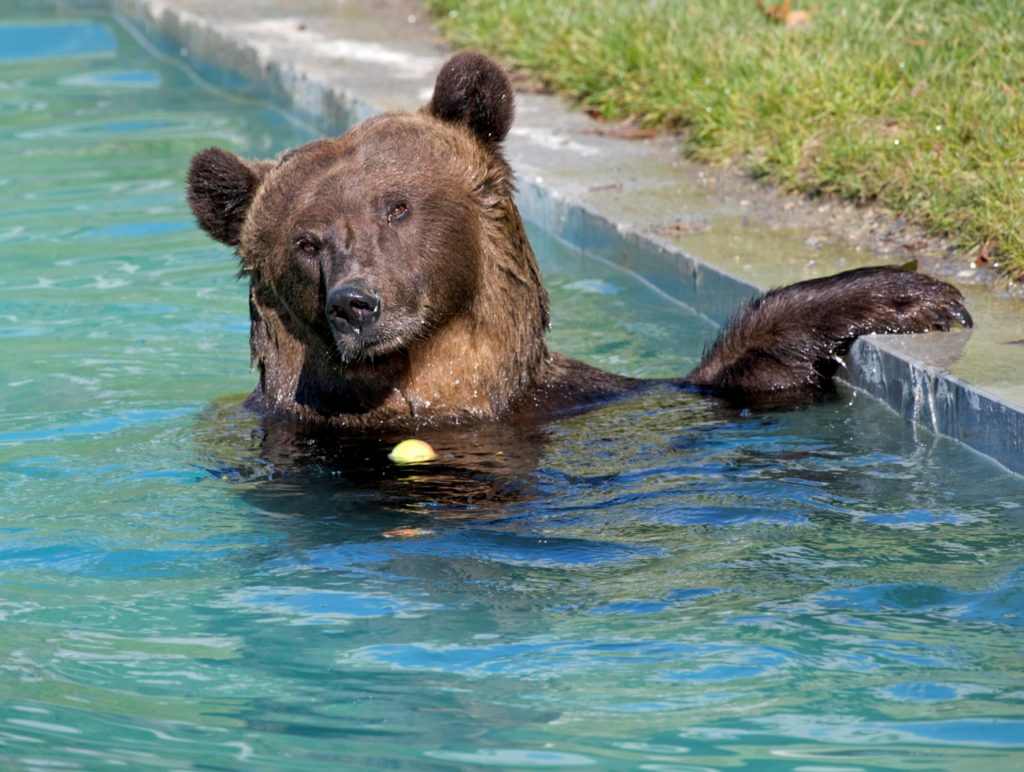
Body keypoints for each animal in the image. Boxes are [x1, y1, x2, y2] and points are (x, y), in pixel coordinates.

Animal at [188, 51, 970, 430]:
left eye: (397, 206)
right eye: (306, 242)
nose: (357, 303)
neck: (438, 390)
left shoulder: (597, 398)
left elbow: (744, 374)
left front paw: (913, 296)